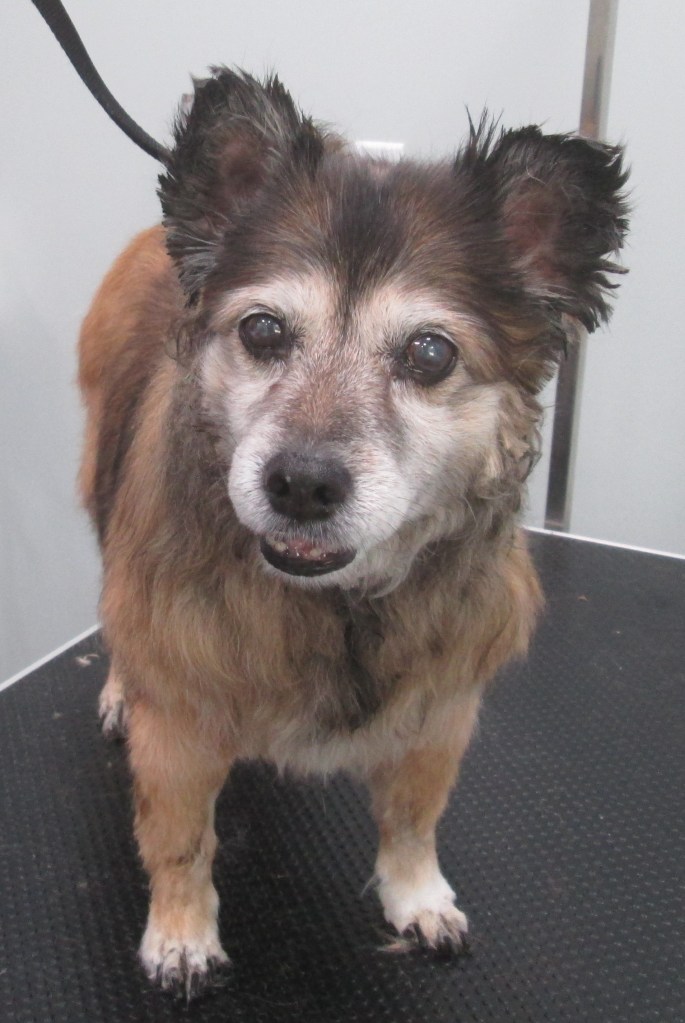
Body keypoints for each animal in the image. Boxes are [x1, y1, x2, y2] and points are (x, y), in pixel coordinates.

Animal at [77, 68, 628, 998]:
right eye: (262, 329)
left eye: (430, 354)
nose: (300, 483)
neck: (335, 604)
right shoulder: (182, 718)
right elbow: (182, 840)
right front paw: (181, 933)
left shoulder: (440, 707)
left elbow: (411, 818)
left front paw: (417, 898)